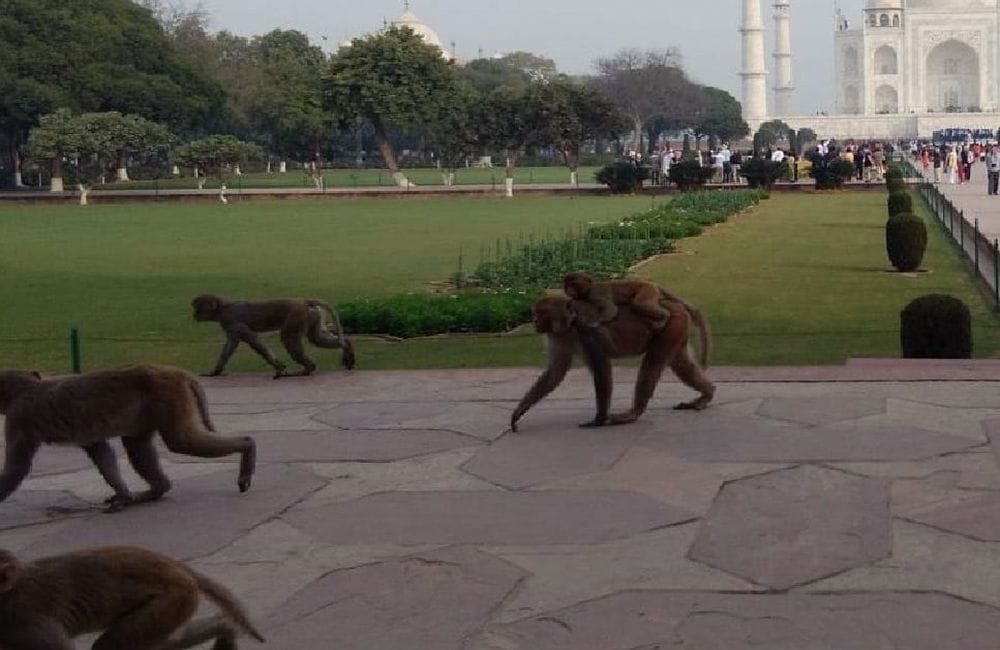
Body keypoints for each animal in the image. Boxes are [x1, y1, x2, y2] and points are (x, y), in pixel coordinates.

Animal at [0, 365, 256, 512]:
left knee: (181, 441)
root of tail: (175, 372)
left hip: (167, 397)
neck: (27, 386)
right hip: (151, 409)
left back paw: (247, 445)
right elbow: (100, 451)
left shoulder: (17, 417)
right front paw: (123, 495)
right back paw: (157, 489)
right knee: (136, 444)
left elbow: (16, 468)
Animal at [0, 546, 264, 649]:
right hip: (177, 603)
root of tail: (174, 567)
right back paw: (223, 627)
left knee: (110, 646)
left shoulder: (26, 621)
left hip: (172, 599)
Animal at [192, 294, 356, 379]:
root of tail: (303, 301)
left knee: (288, 337)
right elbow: (230, 346)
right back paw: (346, 346)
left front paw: (279, 368)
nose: (194, 315)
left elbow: (254, 340)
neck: (221, 310)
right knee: (316, 339)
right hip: (312, 316)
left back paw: (307, 368)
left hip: (297, 316)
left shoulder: (233, 322)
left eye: (197, 308)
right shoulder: (230, 326)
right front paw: (215, 371)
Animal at [510, 294, 715, 432]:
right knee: (680, 363)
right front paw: (518, 412)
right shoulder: (557, 336)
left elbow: (601, 368)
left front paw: (599, 419)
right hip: (678, 327)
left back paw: (634, 412)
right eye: (536, 312)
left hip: (672, 324)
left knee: (654, 362)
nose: (534, 321)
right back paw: (707, 393)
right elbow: (555, 372)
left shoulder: (587, 332)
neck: (570, 323)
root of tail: (672, 303)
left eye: (541, 312)